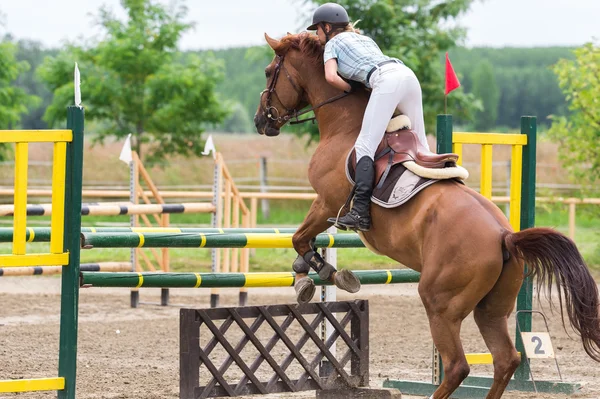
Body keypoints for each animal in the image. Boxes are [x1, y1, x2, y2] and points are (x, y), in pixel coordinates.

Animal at [253, 32, 600, 399]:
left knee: (459, 365)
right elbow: (302, 239)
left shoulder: (327, 203)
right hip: (491, 309)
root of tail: (505, 235)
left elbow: (299, 237)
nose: (261, 120)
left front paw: (318, 274)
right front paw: (310, 273)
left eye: (268, 71)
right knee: (506, 359)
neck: (345, 125)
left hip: (439, 302)